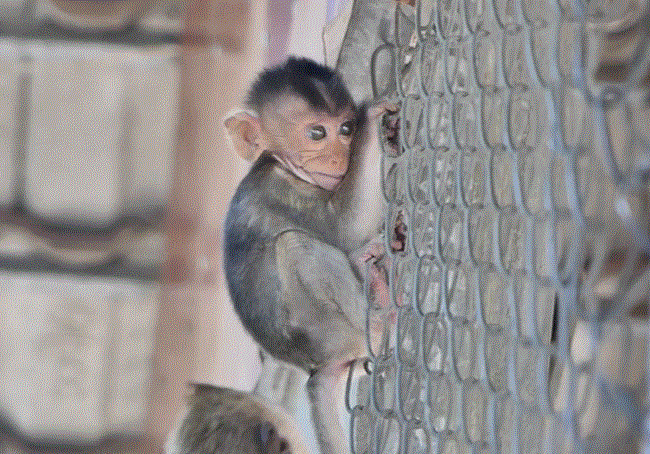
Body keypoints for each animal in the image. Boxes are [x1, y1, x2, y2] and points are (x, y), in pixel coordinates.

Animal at [223, 57, 396, 454]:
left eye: (345, 129)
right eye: (317, 133)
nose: (341, 157)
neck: (275, 163)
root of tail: (317, 367)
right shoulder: (283, 191)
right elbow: (343, 227)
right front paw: (374, 116)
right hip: (329, 331)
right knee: (296, 248)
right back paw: (378, 321)